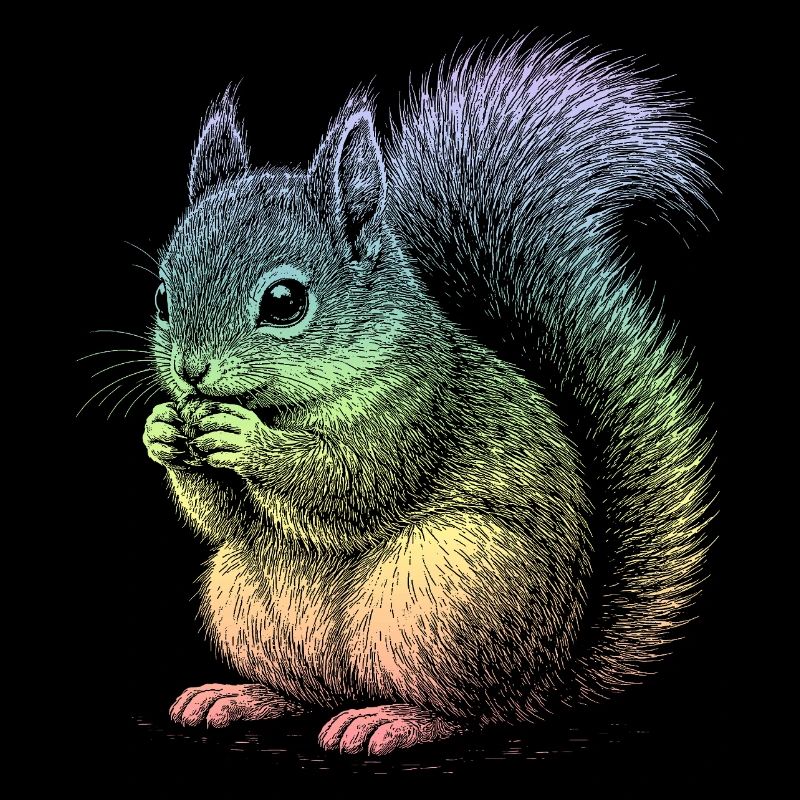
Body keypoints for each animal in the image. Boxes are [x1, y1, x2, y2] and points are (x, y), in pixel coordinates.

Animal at [141, 37, 714, 756]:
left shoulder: (416, 409)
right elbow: (226, 521)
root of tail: (546, 683)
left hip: (446, 593)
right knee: (310, 691)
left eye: (285, 302)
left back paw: (394, 719)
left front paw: (247, 442)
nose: (191, 372)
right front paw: (162, 430)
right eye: (162, 296)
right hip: (244, 600)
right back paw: (243, 696)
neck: (289, 402)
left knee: (470, 710)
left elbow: (352, 484)